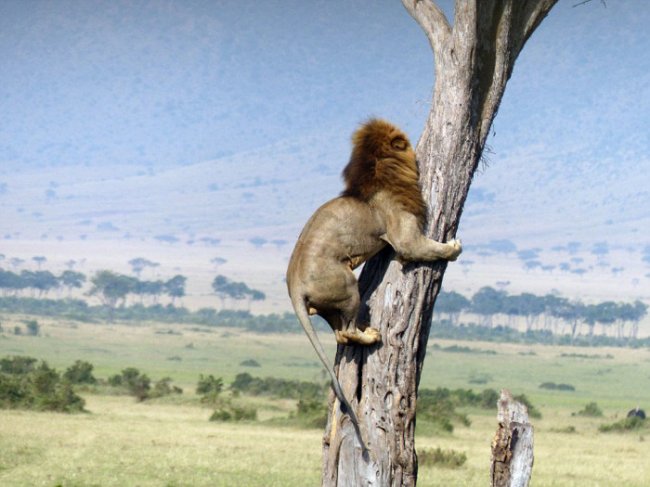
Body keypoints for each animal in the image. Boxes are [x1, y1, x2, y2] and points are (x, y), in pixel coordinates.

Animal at [284, 120, 460, 432]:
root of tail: (293, 284)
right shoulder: (404, 236)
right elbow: (427, 248)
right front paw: (453, 247)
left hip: (330, 303)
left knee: (340, 334)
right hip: (347, 287)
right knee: (347, 331)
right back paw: (372, 334)